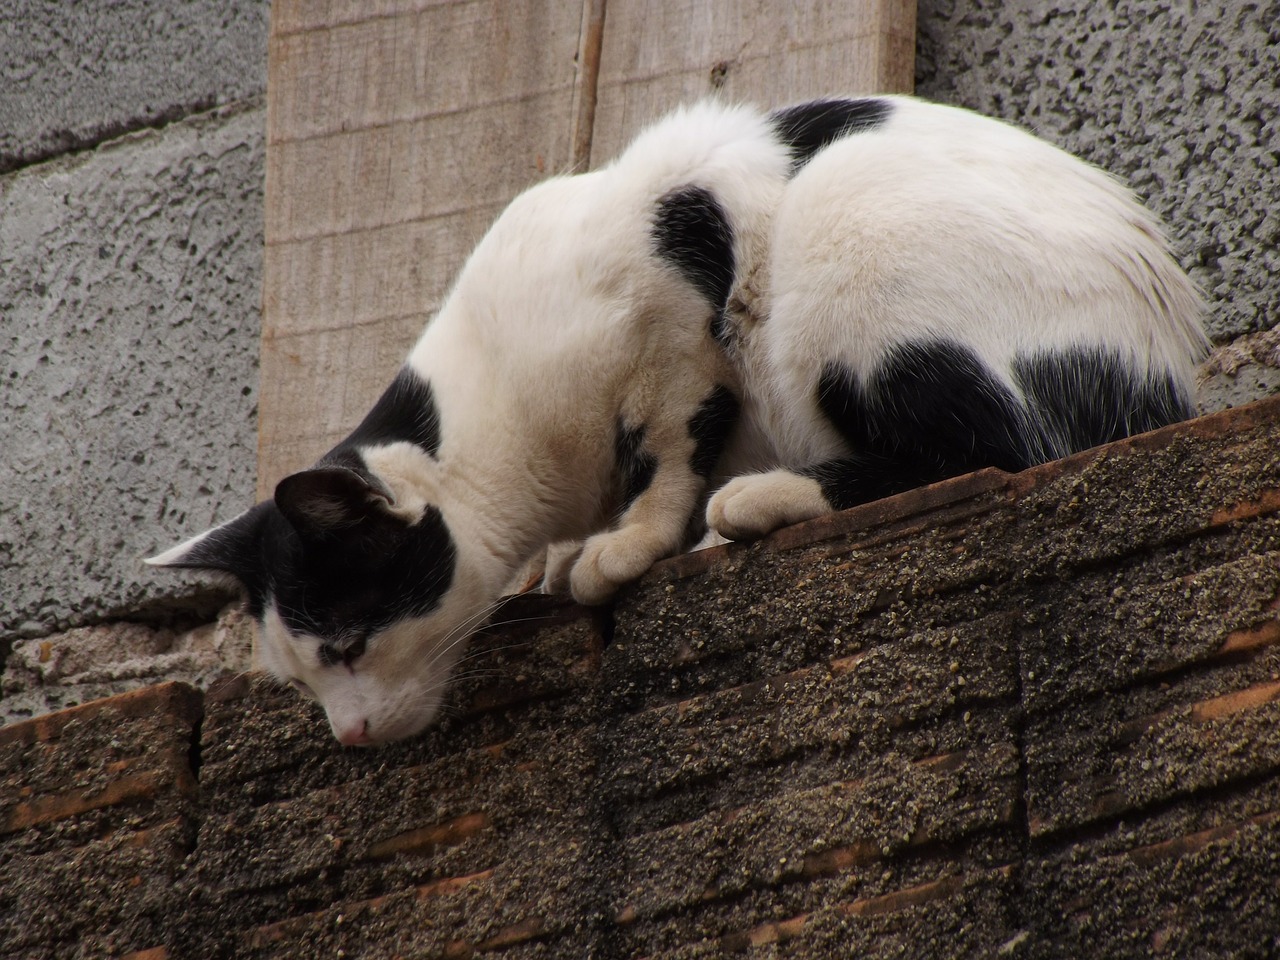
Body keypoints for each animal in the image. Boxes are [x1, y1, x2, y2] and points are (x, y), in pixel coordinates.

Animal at [145, 97, 1203, 747]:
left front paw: (631, 545)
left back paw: (755, 503)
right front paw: (574, 555)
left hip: (845, 226)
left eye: (348, 647)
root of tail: (1171, 366)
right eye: (302, 681)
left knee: (997, 448)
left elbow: (669, 446)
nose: (350, 735)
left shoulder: (679, 286)